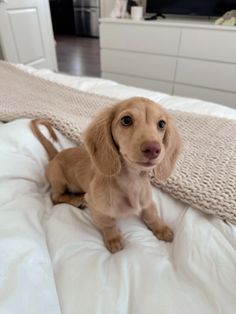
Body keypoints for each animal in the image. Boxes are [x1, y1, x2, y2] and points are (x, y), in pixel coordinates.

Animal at [30, 97, 181, 254]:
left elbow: (152, 216)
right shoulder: (97, 208)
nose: (153, 149)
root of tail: (56, 155)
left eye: (162, 124)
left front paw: (162, 229)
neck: (131, 182)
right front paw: (113, 239)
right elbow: (108, 224)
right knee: (56, 198)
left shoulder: (147, 202)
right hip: (58, 180)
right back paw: (77, 200)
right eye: (126, 120)